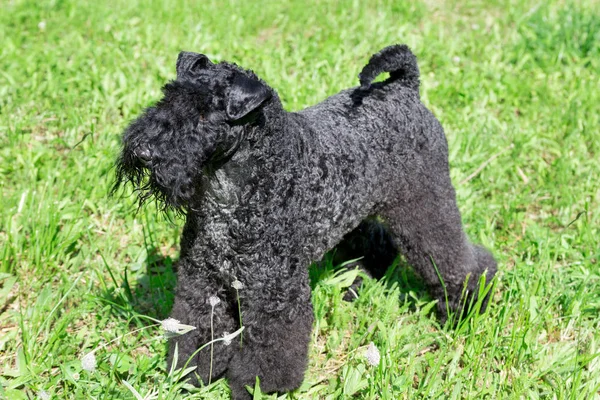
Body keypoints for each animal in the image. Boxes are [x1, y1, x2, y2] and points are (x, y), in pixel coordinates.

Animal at [113, 45, 496, 398]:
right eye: (168, 96)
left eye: (206, 114)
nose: (144, 150)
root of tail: (404, 88)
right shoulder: (202, 282)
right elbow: (198, 331)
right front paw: (191, 373)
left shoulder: (274, 293)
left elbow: (271, 347)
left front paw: (260, 387)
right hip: (357, 208)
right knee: (375, 243)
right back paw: (355, 285)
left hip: (424, 204)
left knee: (457, 259)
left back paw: (466, 306)